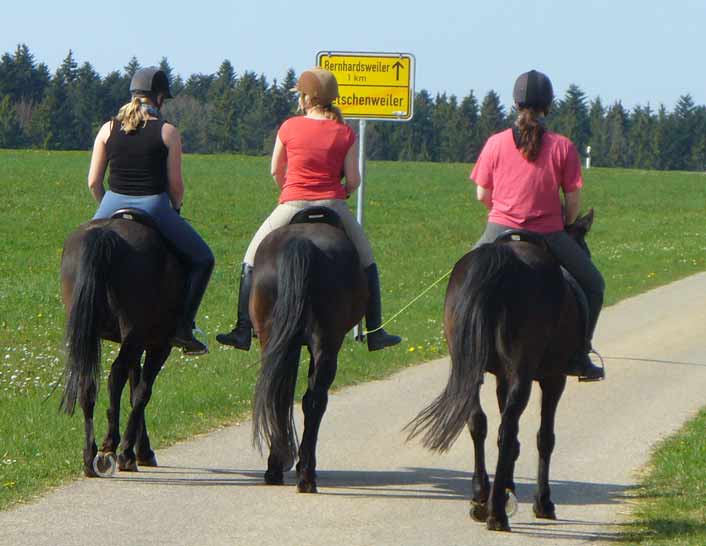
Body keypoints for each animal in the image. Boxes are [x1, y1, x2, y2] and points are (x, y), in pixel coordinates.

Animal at [59, 212, 183, 476]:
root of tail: (105, 233)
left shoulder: (137, 342)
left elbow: (134, 387)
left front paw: (141, 449)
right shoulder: (158, 344)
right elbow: (141, 392)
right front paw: (130, 452)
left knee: (89, 383)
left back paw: (90, 455)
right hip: (137, 335)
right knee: (115, 377)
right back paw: (110, 448)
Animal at [249, 207, 368, 488]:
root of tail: (302, 243)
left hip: (274, 340)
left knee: (279, 397)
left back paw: (276, 469)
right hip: (327, 344)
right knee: (315, 401)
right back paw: (305, 474)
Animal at [404, 209, 596, 528]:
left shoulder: (501, 377)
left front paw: (507, 488)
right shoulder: (553, 378)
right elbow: (544, 438)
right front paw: (542, 502)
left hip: (469, 368)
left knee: (478, 422)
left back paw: (482, 496)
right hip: (525, 372)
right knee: (507, 430)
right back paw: (496, 513)